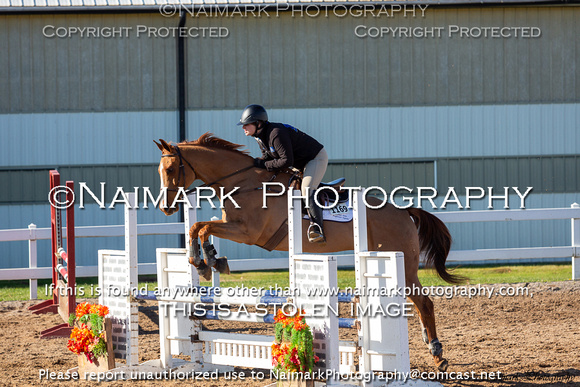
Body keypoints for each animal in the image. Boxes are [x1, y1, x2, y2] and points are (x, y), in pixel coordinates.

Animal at [155, 133, 462, 372]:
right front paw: (205, 261)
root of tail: (404, 212)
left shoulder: (249, 233)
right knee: (419, 304)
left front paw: (207, 261)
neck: (243, 183)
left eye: (170, 169)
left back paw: (438, 355)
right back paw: (430, 346)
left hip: (403, 263)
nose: (165, 208)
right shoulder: (234, 227)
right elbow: (199, 227)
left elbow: (202, 227)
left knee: (425, 303)